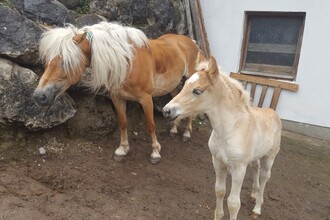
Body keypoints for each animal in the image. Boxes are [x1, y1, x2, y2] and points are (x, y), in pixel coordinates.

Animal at [33, 21, 204, 163]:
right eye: (47, 60)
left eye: (65, 62)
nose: (39, 96)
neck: (127, 62)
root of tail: (191, 42)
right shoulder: (117, 97)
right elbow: (122, 122)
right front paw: (122, 150)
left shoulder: (146, 99)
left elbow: (150, 124)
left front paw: (155, 153)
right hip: (173, 86)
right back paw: (174, 129)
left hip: (191, 79)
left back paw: (187, 133)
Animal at [162, 55, 282, 220]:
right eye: (184, 84)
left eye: (197, 91)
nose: (166, 111)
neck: (228, 131)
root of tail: (273, 112)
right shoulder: (218, 162)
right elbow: (219, 191)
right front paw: (218, 215)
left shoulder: (239, 169)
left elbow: (233, 203)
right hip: (256, 156)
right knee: (256, 168)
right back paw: (253, 193)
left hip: (270, 157)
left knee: (265, 176)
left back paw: (257, 208)